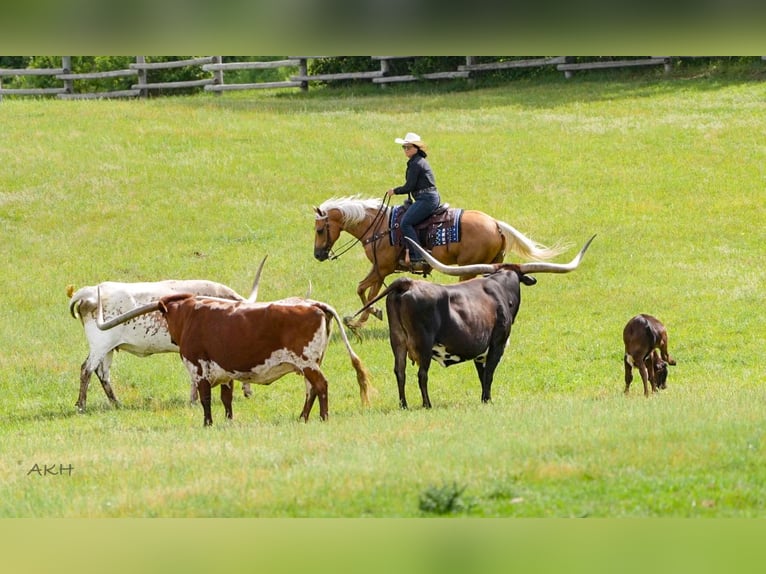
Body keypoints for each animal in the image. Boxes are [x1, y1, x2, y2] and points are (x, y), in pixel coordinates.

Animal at [313, 196, 567, 329]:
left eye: (319, 230)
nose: (318, 255)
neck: (379, 227)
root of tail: (496, 224)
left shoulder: (381, 267)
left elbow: (362, 289)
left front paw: (359, 319)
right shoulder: (381, 269)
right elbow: (371, 292)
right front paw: (370, 315)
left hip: (468, 269)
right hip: (492, 265)